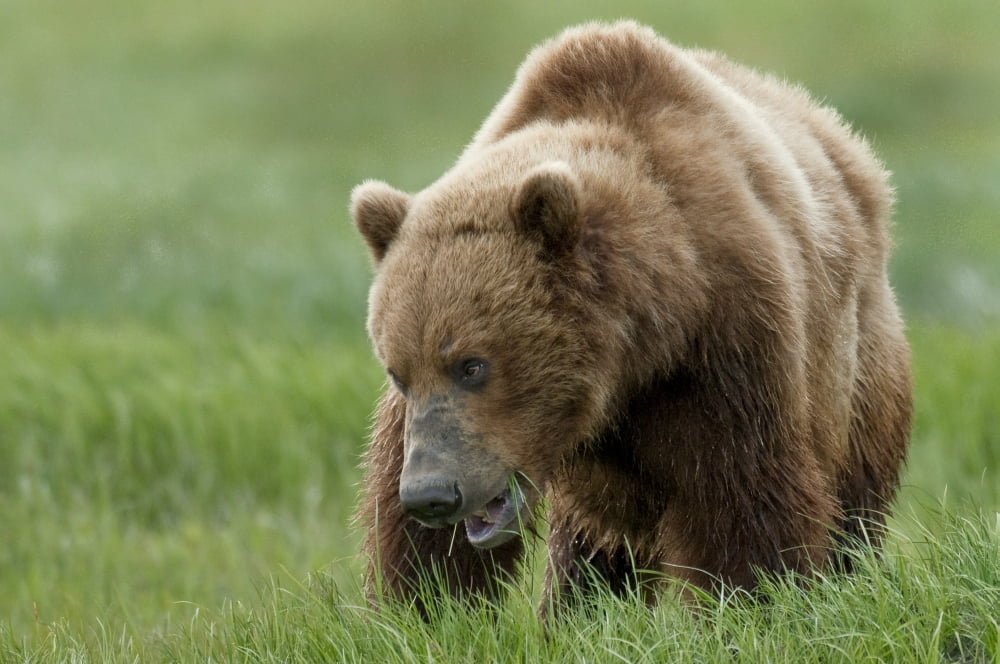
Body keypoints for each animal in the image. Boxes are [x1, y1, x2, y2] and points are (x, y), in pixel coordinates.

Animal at [350, 21, 911, 615]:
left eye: (473, 365)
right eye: (397, 372)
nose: (432, 494)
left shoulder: (725, 344)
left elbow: (739, 498)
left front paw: (752, 601)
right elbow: (421, 544)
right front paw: (425, 605)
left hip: (856, 368)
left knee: (853, 501)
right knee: (590, 548)